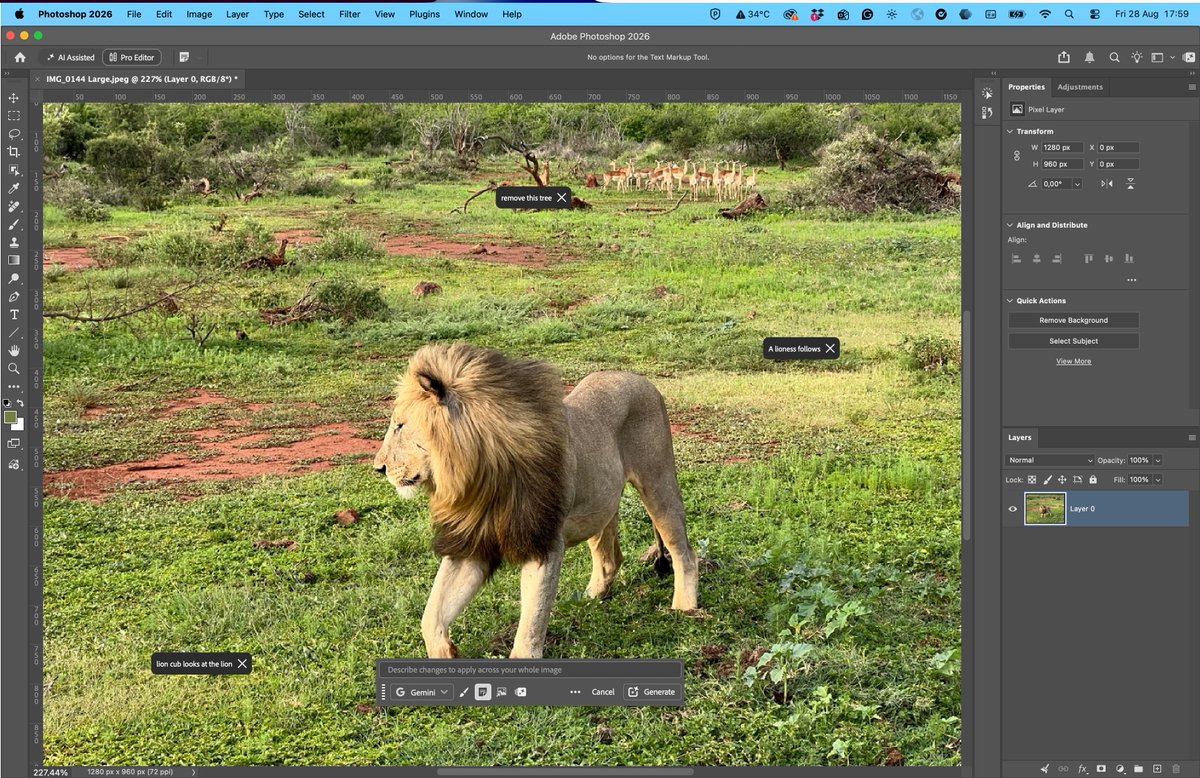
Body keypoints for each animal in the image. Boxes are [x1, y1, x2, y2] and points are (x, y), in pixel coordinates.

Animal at [374, 343, 698, 659]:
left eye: (399, 426)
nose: (379, 468)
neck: (479, 477)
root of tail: (638, 378)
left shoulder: (544, 541)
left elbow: (531, 622)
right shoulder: (472, 540)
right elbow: (431, 614)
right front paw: (446, 654)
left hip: (658, 483)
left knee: (683, 551)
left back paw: (684, 608)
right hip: (599, 504)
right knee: (610, 558)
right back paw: (588, 600)